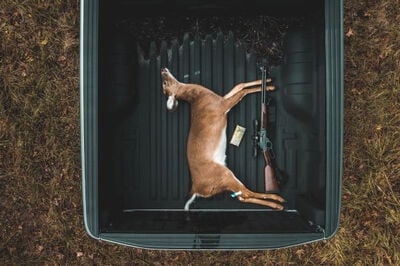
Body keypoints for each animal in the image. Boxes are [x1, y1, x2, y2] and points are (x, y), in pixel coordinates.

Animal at [159, 68, 284, 210]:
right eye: (164, 83)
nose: (162, 70)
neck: (198, 97)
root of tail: (196, 189)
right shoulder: (222, 105)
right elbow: (242, 92)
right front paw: (268, 86)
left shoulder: (221, 98)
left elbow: (239, 85)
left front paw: (268, 83)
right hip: (225, 175)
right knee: (245, 193)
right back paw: (278, 201)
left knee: (241, 196)